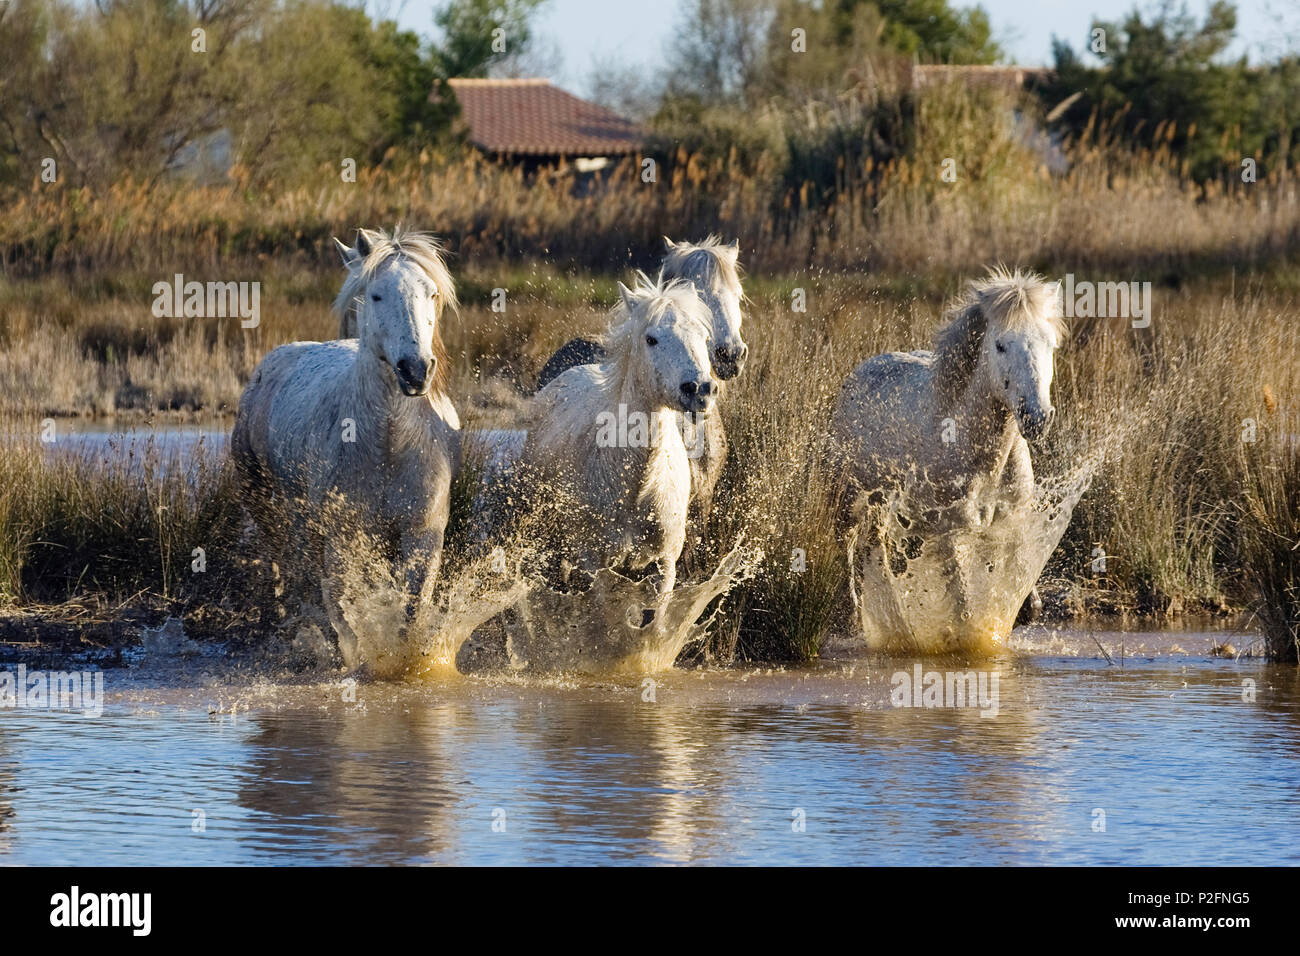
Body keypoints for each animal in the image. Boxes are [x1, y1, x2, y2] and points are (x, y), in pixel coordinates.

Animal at [233, 231, 462, 665]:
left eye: (432, 293)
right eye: (376, 294)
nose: (415, 370)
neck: (389, 443)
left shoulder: (423, 535)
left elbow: (410, 611)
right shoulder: (344, 537)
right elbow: (344, 613)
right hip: (266, 502)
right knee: (284, 568)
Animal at [517, 273, 722, 608]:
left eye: (704, 338)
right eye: (651, 339)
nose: (701, 390)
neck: (636, 486)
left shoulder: (665, 566)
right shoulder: (594, 567)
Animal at [832, 267, 1066, 629]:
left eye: (1051, 345)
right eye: (1000, 345)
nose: (1036, 417)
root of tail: (859, 372)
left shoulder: (1007, 526)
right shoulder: (949, 535)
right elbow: (963, 607)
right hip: (851, 498)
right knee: (850, 544)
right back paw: (859, 614)